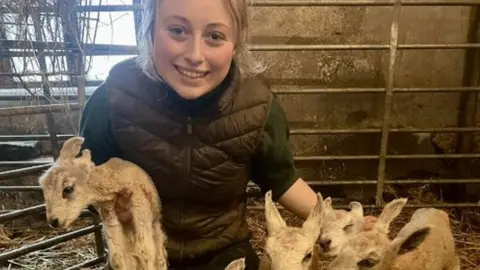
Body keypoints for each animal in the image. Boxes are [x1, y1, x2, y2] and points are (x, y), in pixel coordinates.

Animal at [38, 137, 168, 270]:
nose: (53, 221)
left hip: (154, 224)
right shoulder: (108, 210)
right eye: (43, 188)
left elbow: (145, 251)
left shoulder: (139, 203)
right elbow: (118, 258)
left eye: (68, 189)